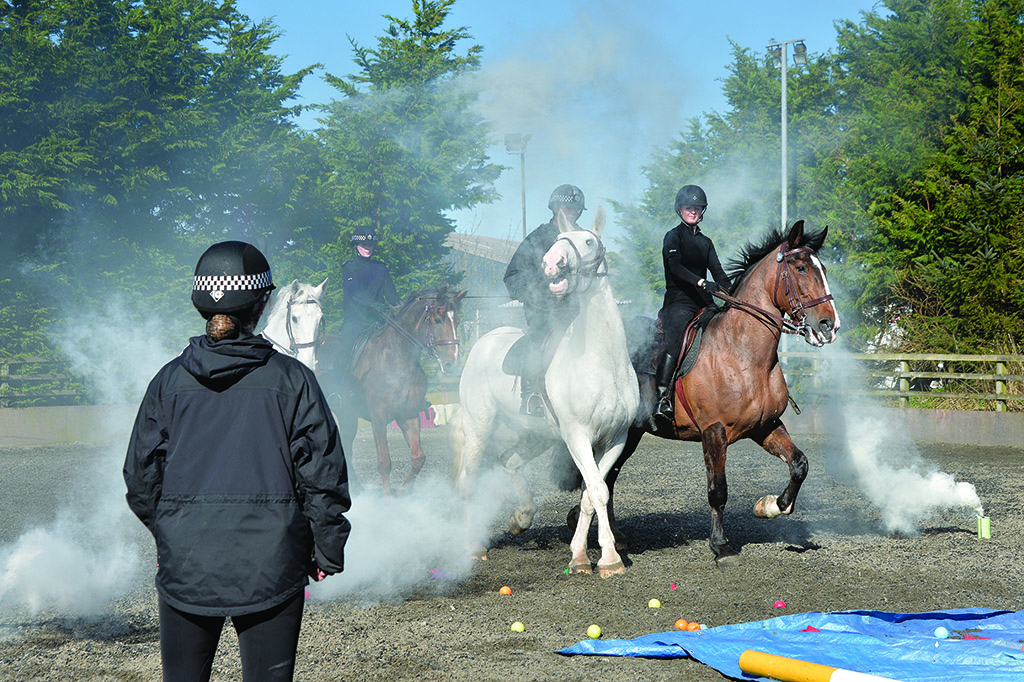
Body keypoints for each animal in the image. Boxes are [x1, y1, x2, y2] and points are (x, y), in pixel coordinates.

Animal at [337, 284, 466, 497]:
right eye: (438, 320)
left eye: (457, 320)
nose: (451, 364)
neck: (397, 355)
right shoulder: (379, 418)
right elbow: (384, 463)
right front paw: (389, 500)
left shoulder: (408, 415)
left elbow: (418, 457)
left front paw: (405, 490)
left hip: (348, 415)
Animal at [454, 206, 638, 573]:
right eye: (557, 240)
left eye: (588, 241)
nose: (552, 263)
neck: (603, 361)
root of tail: (482, 342)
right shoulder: (578, 437)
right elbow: (597, 491)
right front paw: (609, 559)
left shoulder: (614, 440)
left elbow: (592, 493)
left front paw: (582, 556)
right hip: (479, 428)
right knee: (470, 480)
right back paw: (473, 547)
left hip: (535, 436)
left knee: (509, 462)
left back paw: (521, 518)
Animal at [569, 220, 839, 561]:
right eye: (801, 267)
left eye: (823, 268)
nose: (830, 326)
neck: (742, 352)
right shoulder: (714, 431)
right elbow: (718, 490)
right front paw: (721, 545)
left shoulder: (766, 426)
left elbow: (799, 465)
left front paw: (770, 506)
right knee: (602, 477)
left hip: (629, 434)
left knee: (609, 477)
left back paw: (614, 538)